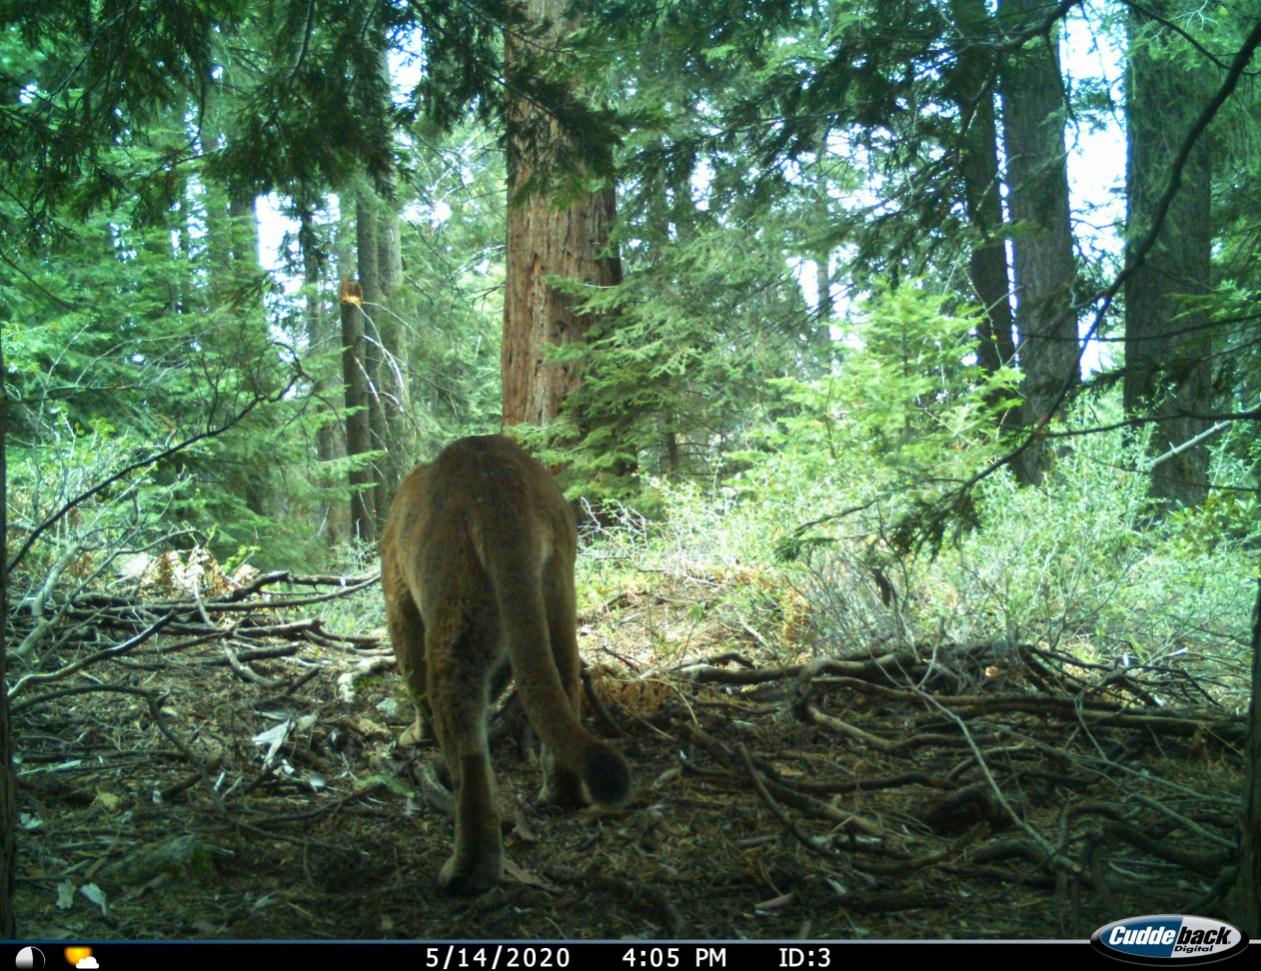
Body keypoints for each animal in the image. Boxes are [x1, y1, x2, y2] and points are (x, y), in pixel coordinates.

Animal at [375, 431, 627, 892]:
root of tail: (499, 488)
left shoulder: (400, 601)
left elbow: (411, 671)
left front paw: (414, 735)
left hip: (457, 618)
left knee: (466, 745)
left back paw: (466, 873)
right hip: (556, 600)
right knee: (561, 684)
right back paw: (561, 794)